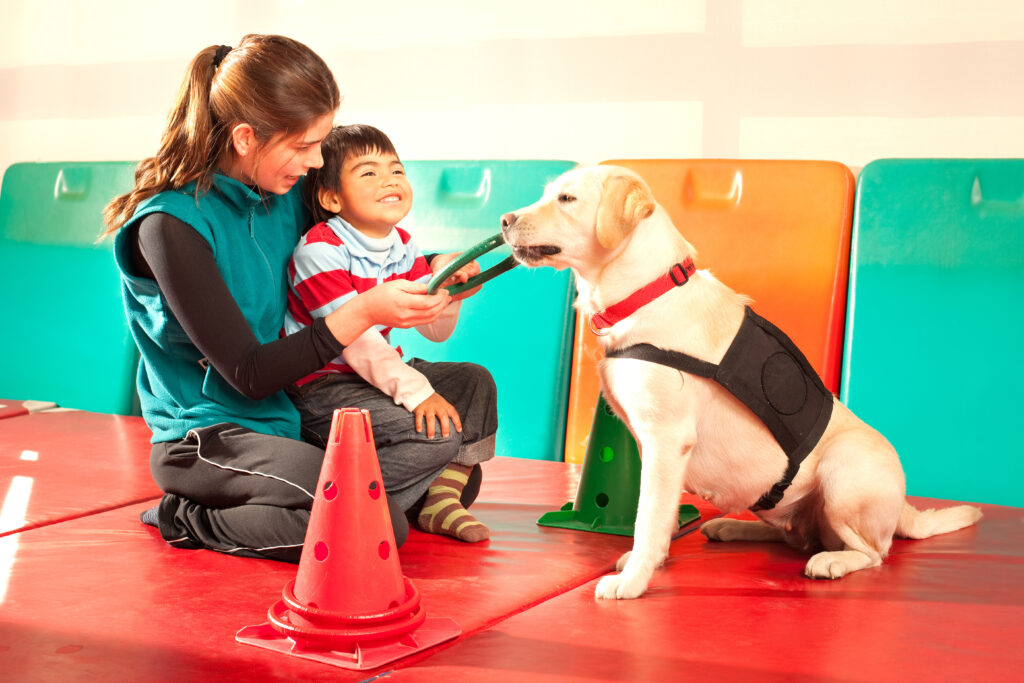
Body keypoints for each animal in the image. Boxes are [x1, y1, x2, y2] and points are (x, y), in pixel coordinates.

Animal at [503, 165, 983, 598]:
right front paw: (654, 559)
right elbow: (659, 514)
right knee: (794, 535)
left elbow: (647, 516)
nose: (505, 220)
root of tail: (904, 508)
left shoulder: (665, 440)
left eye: (567, 199)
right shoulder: (650, 446)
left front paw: (634, 578)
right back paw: (731, 526)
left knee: (873, 554)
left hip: (842, 474)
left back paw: (832, 560)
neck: (647, 292)